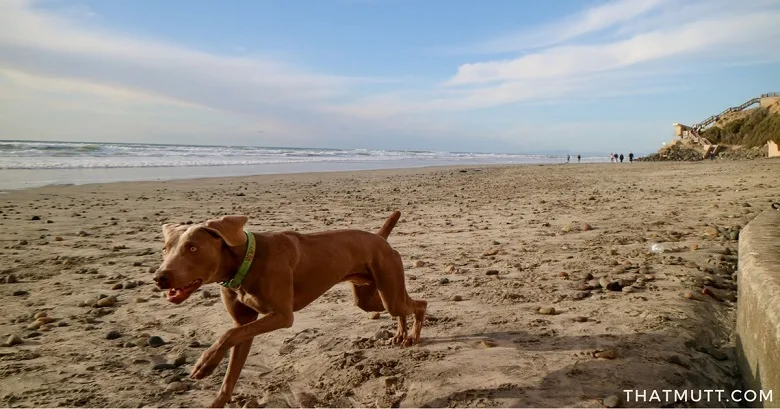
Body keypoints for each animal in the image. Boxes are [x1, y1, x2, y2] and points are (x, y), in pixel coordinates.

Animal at [149, 209, 424, 406]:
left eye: (193, 247)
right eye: (165, 249)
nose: (160, 277)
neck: (245, 261)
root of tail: (380, 239)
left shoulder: (281, 315)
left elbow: (227, 334)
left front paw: (205, 364)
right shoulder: (245, 322)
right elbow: (231, 363)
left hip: (388, 290)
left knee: (420, 303)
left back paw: (412, 335)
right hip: (369, 297)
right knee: (404, 306)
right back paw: (401, 333)